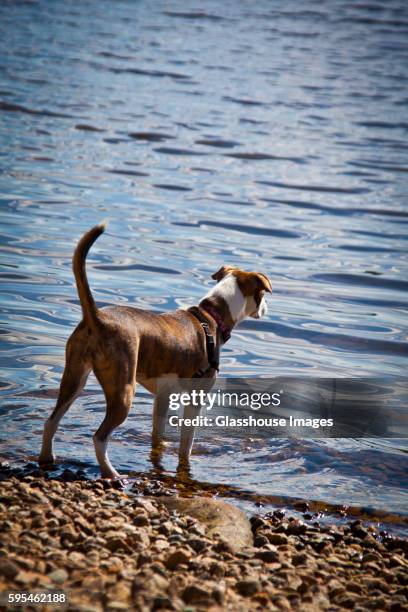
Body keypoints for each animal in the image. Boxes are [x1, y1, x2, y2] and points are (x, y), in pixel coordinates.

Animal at [39, 222, 270, 480]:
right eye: (262, 294)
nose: (266, 309)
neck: (212, 315)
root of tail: (96, 317)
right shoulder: (195, 399)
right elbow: (186, 445)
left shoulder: (163, 396)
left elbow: (158, 434)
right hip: (123, 391)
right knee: (99, 437)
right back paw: (113, 474)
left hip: (74, 377)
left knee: (51, 421)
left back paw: (47, 458)